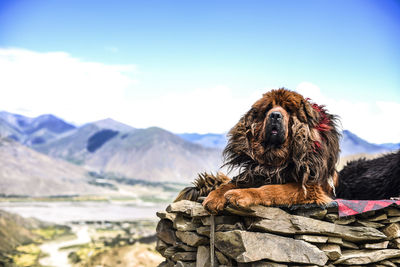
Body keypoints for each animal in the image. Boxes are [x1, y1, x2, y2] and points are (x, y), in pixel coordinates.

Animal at [177, 89, 340, 215]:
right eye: (268, 108)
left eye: (288, 110)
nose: (275, 115)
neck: (275, 158)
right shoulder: (256, 173)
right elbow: (228, 185)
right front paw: (215, 196)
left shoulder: (309, 188)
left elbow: (271, 189)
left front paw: (240, 195)